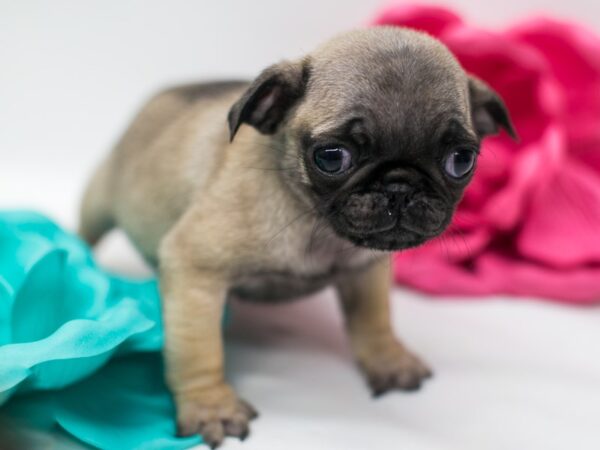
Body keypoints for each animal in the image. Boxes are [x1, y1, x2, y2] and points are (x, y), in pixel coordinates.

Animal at [79, 27, 516, 446]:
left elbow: (374, 319)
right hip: (99, 198)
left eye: (461, 160)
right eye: (332, 157)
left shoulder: (365, 272)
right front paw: (211, 406)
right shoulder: (195, 271)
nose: (400, 184)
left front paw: (388, 359)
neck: (317, 227)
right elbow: (199, 350)